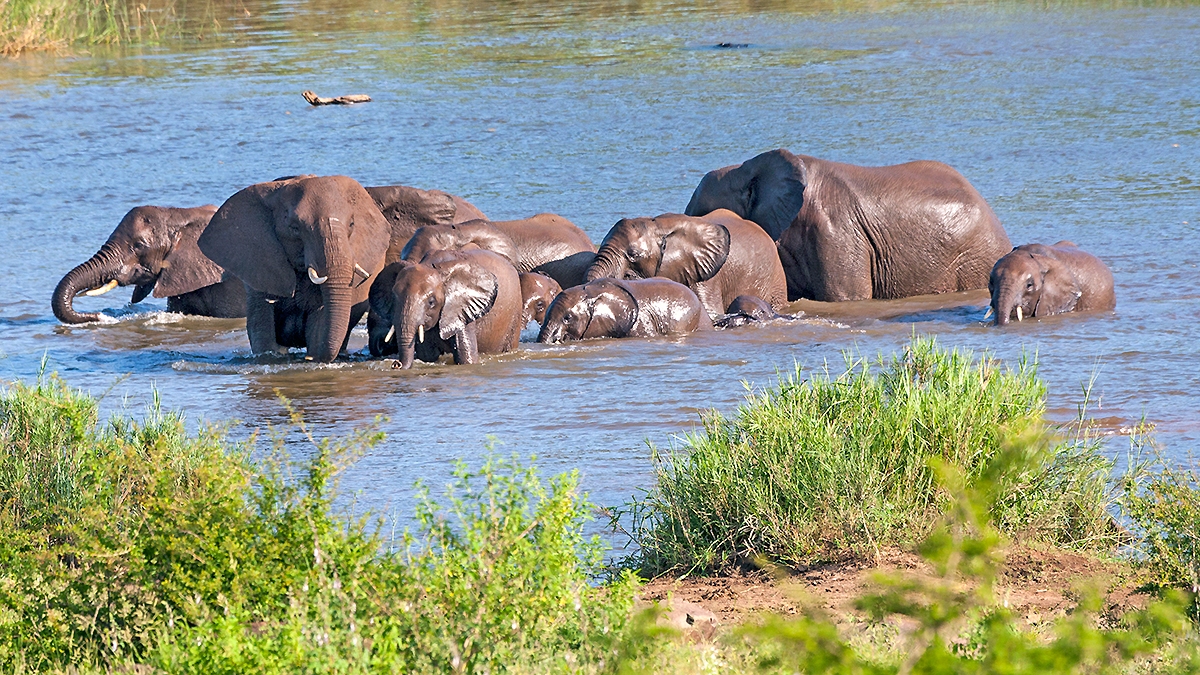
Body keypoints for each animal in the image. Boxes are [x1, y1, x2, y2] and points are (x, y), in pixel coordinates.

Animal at [368, 249, 522, 368]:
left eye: (431, 302)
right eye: (394, 297)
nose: (396, 364)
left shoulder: (461, 310)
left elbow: (466, 357)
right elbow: (427, 355)